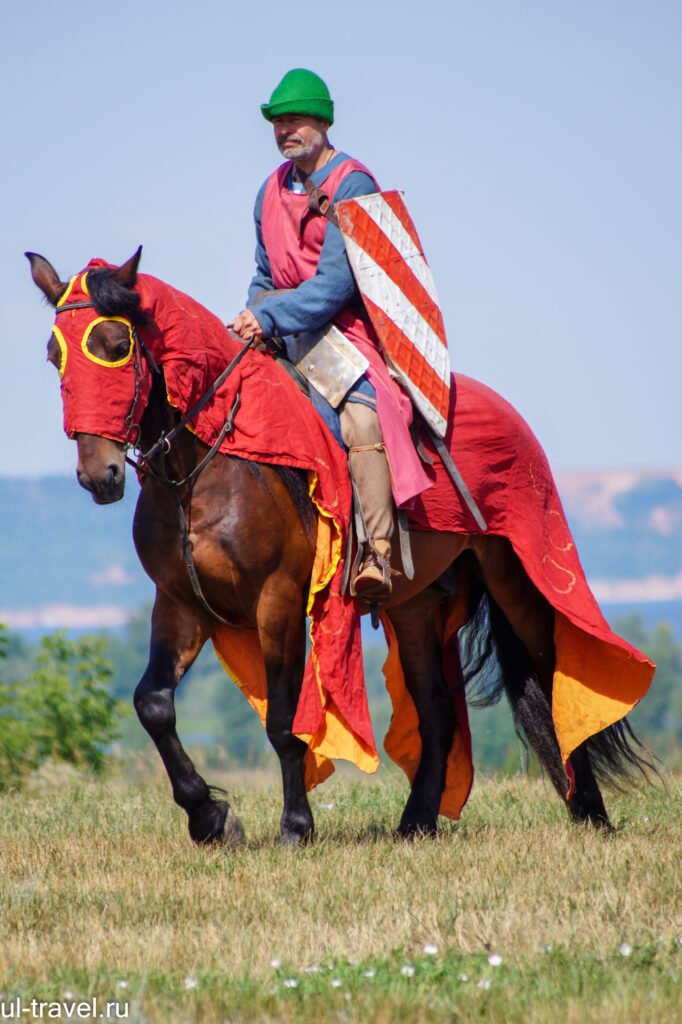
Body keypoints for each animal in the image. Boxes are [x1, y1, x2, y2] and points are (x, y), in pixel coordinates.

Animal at [29, 249, 651, 847]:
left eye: (116, 346)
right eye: (54, 356)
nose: (99, 475)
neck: (205, 468)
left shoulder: (278, 601)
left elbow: (285, 721)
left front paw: (295, 827)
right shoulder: (180, 604)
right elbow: (153, 704)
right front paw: (210, 818)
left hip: (515, 577)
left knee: (553, 676)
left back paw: (590, 813)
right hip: (416, 604)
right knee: (437, 710)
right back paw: (416, 823)